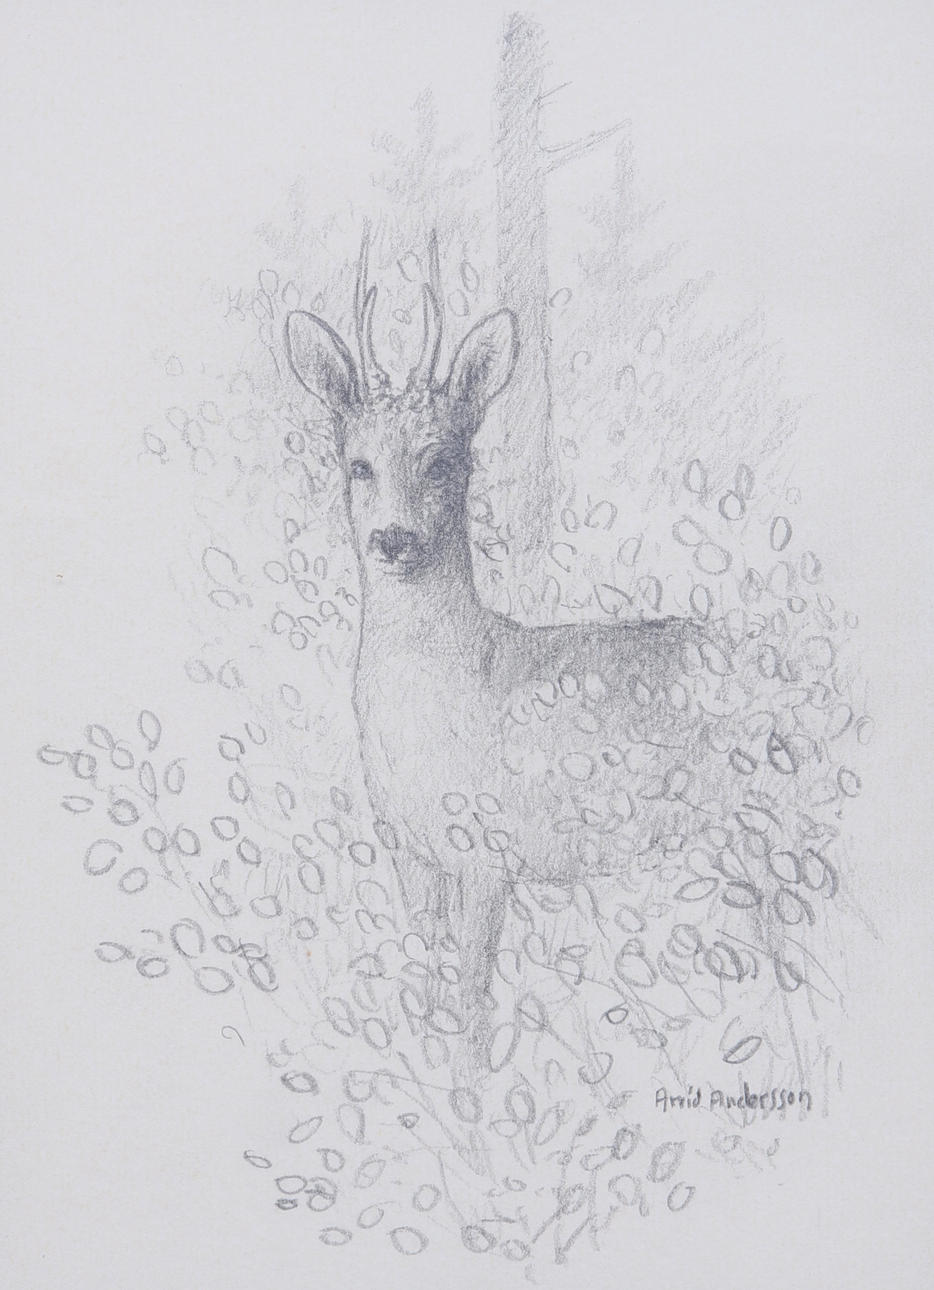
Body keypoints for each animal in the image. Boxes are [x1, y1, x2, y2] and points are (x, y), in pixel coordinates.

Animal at [285, 236, 704, 1057]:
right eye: (358, 463)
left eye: (444, 458)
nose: (393, 539)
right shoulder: (412, 851)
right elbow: (428, 989)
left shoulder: (488, 849)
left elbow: (472, 1011)